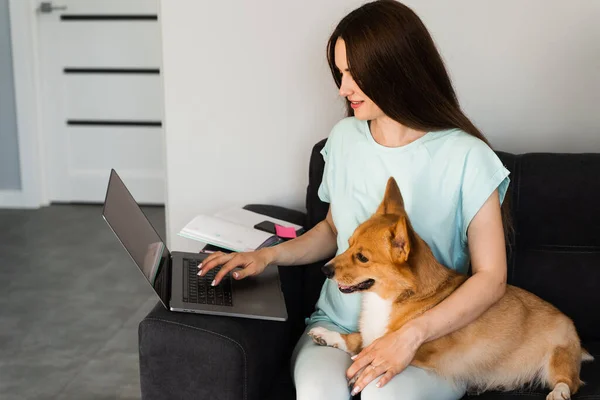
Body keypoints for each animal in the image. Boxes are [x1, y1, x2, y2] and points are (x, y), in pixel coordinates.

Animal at [312, 178, 592, 400]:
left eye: (362, 257)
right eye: (348, 244)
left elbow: (374, 347)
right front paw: (328, 336)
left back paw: (558, 393)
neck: (394, 297)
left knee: (569, 382)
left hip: (558, 354)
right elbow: (358, 339)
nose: (324, 269)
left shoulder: (425, 352)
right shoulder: (370, 333)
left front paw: (360, 365)